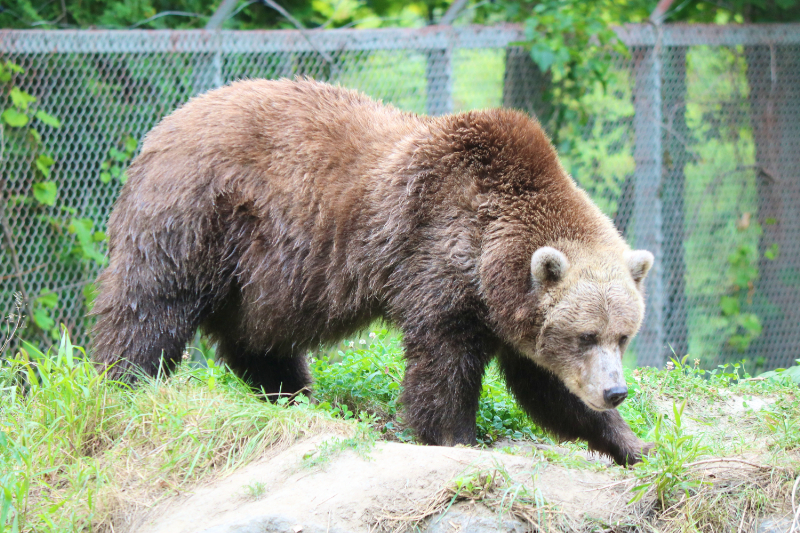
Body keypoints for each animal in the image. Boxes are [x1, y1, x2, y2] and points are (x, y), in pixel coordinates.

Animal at [92, 79, 656, 466]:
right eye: (586, 335)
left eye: (623, 335)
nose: (616, 391)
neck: (489, 258)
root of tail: (161, 128)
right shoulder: (438, 257)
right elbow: (443, 364)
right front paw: (456, 437)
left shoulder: (510, 311)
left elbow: (548, 387)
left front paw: (633, 443)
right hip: (196, 218)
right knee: (151, 304)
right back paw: (124, 380)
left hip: (259, 274)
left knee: (259, 336)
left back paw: (292, 393)